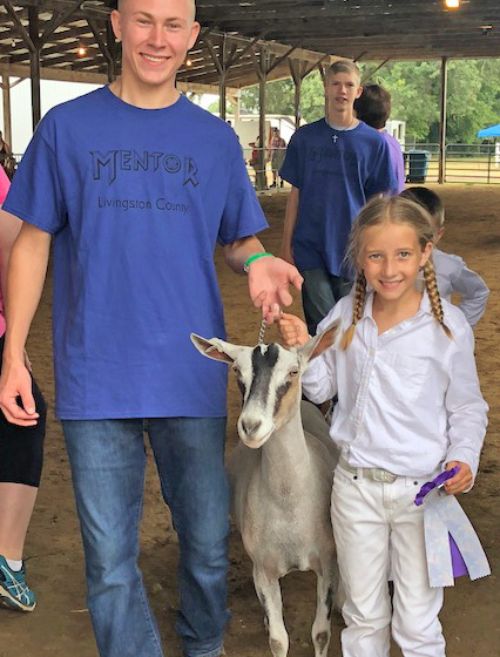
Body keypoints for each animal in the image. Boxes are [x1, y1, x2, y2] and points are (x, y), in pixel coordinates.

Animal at [190, 322, 340, 656]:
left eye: (293, 372)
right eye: (237, 371)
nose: (251, 426)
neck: (289, 506)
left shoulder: (327, 562)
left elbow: (321, 633)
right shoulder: (264, 570)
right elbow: (278, 638)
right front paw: (271, 626)